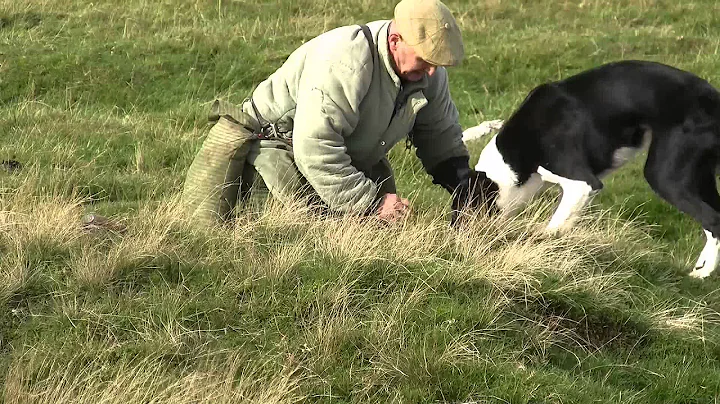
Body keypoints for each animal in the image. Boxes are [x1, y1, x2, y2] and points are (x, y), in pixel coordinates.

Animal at [458, 60, 720, 278]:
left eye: (464, 208)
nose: (457, 240)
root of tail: (714, 99)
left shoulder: (582, 183)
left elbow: (551, 229)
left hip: (664, 176)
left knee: (713, 220)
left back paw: (702, 274)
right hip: (699, 178)